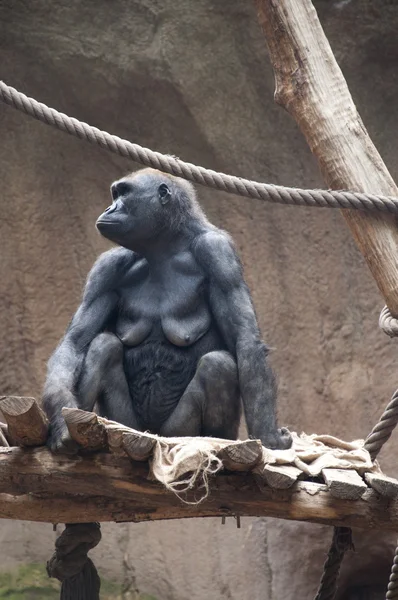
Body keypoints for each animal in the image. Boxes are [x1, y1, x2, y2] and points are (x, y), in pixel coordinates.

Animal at [42, 166, 292, 452]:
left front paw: (268, 436)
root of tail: (155, 435)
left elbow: (245, 340)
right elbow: (75, 342)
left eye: (124, 193)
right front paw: (61, 417)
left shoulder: (218, 253)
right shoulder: (108, 267)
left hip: (177, 432)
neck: (165, 247)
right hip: (129, 425)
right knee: (102, 346)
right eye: (115, 194)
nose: (109, 208)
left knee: (218, 365)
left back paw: (214, 438)